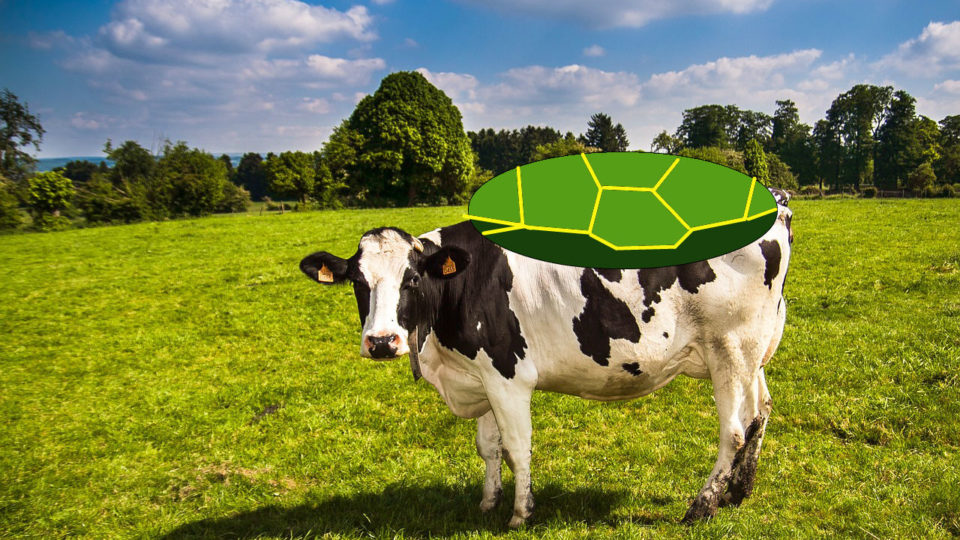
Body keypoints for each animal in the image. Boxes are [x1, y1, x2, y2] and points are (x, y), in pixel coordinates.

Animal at [299, 190, 793, 527]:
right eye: (358, 282)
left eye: (413, 279)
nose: (382, 342)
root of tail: (777, 202)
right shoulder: (480, 375)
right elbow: (488, 447)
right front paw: (488, 502)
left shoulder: (507, 375)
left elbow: (517, 446)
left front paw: (521, 513)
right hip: (752, 351)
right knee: (760, 412)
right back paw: (738, 491)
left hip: (729, 348)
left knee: (733, 431)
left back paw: (703, 505)